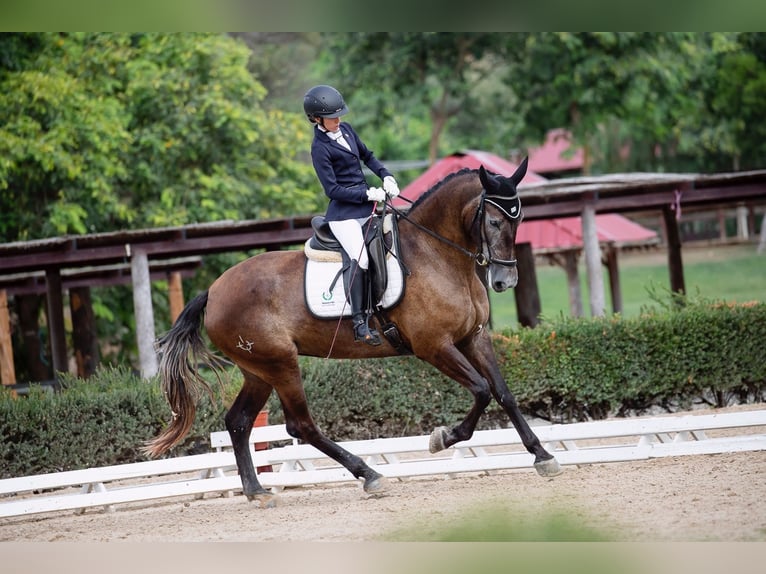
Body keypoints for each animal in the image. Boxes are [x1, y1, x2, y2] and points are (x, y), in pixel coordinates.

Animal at [146, 159, 564, 508]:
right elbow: (480, 390)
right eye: (493, 223)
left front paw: (543, 456)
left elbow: (504, 393)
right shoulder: (435, 347)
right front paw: (442, 438)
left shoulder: (474, 338)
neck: (436, 254)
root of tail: (214, 290)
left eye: (520, 221)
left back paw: (257, 491)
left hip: (257, 370)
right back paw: (369, 475)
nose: (504, 281)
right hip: (281, 363)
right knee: (301, 425)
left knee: (239, 422)